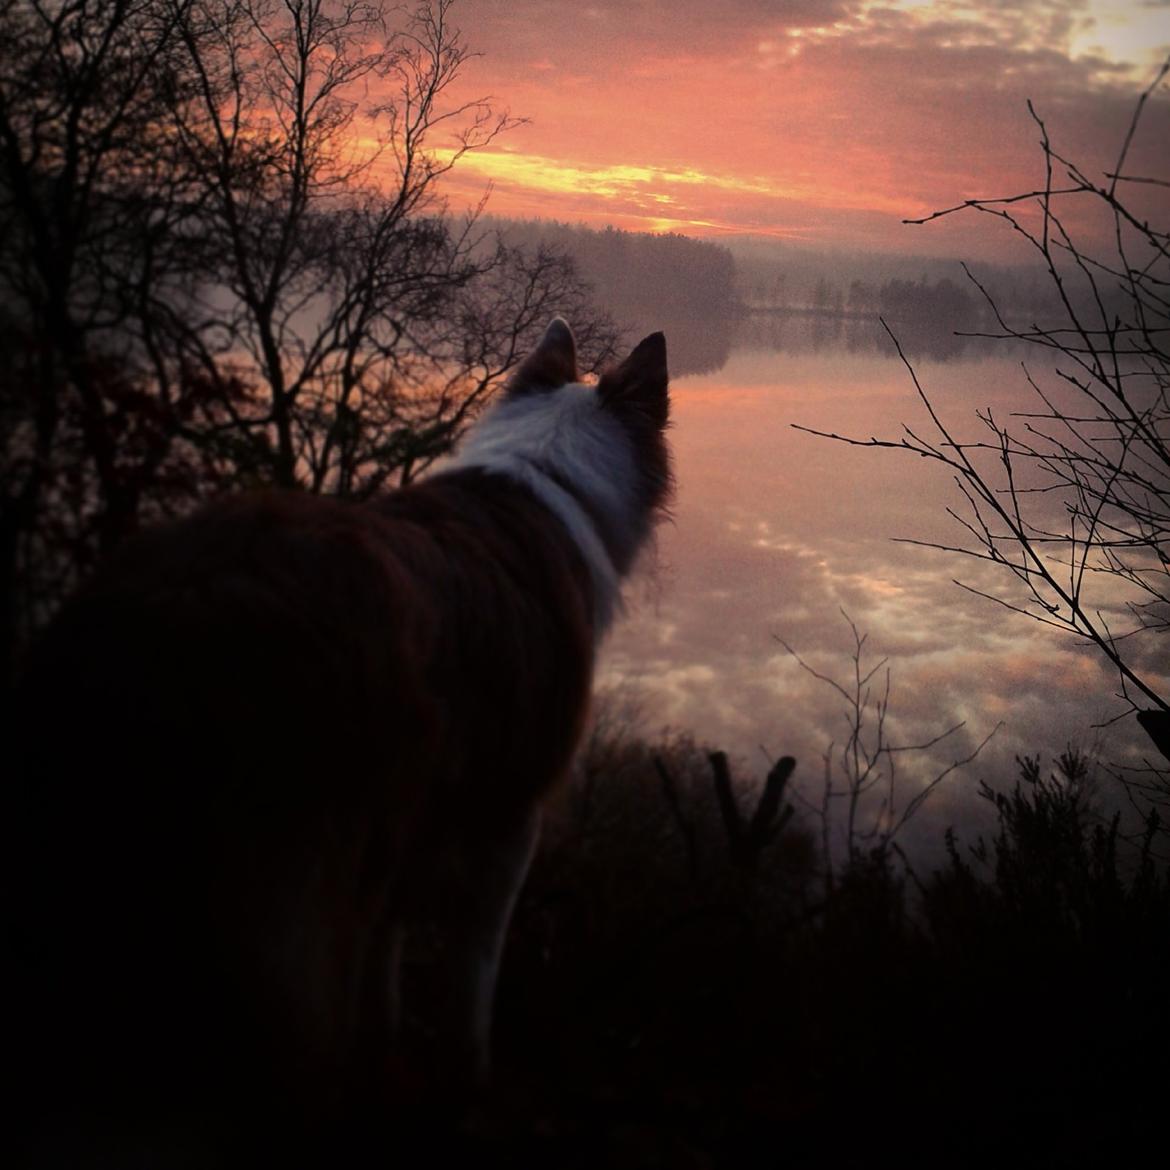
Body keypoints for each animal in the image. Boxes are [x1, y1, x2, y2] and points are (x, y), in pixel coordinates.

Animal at [9, 318, 673, 1151]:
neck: (545, 473)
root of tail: (172, 610)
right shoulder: (506, 816)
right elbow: (475, 972)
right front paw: (467, 1085)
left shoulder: (411, 819)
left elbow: (388, 947)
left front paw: (385, 1054)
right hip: (291, 905)